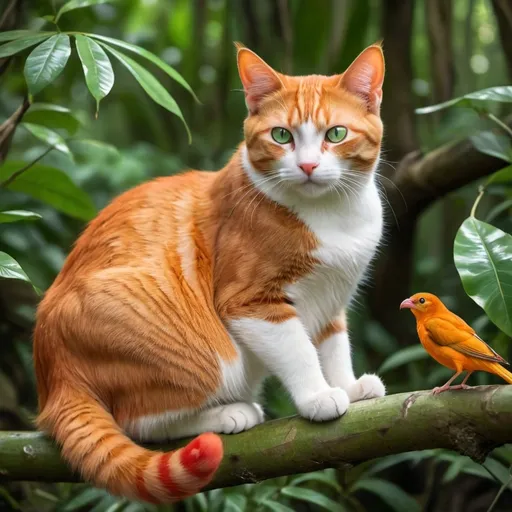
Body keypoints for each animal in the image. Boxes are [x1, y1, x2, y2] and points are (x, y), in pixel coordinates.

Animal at [34, 42, 386, 502]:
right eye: (282, 136)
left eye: (336, 134)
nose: (308, 166)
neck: (333, 215)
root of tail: (53, 374)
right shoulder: (250, 302)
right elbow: (300, 351)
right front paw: (318, 397)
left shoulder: (331, 300)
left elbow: (333, 347)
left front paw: (347, 386)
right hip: (208, 357)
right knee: (136, 420)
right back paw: (227, 415)